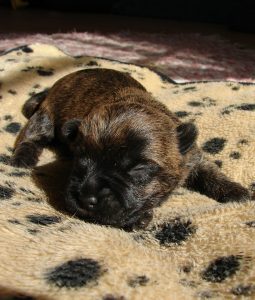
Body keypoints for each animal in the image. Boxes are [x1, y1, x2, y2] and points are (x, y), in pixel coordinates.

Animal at [10, 68, 251, 229]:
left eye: (138, 169)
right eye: (79, 159)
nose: (86, 199)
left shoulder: (192, 156)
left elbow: (211, 172)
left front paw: (236, 192)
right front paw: (140, 218)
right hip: (45, 116)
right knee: (30, 136)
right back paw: (23, 158)